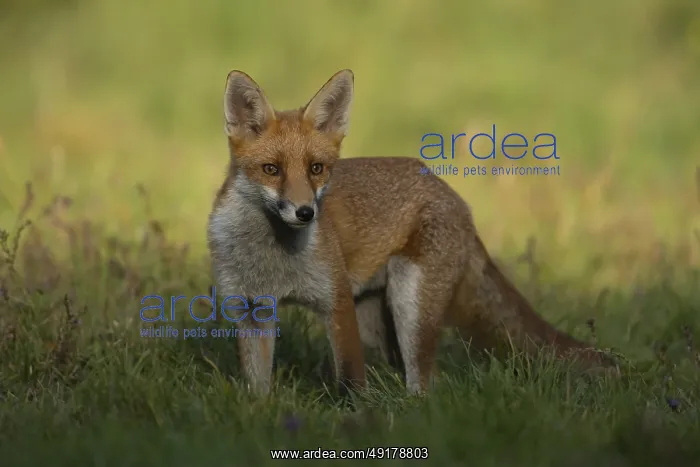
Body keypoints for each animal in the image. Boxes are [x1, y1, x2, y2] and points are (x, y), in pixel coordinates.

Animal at [207, 68, 616, 397]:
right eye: (271, 170)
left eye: (316, 169)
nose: (305, 213)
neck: (273, 262)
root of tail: (451, 193)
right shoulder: (251, 310)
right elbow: (257, 387)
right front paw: (259, 415)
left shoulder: (335, 303)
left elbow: (351, 383)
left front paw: (355, 419)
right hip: (376, 320)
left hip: (410, 307)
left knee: (425, 385)